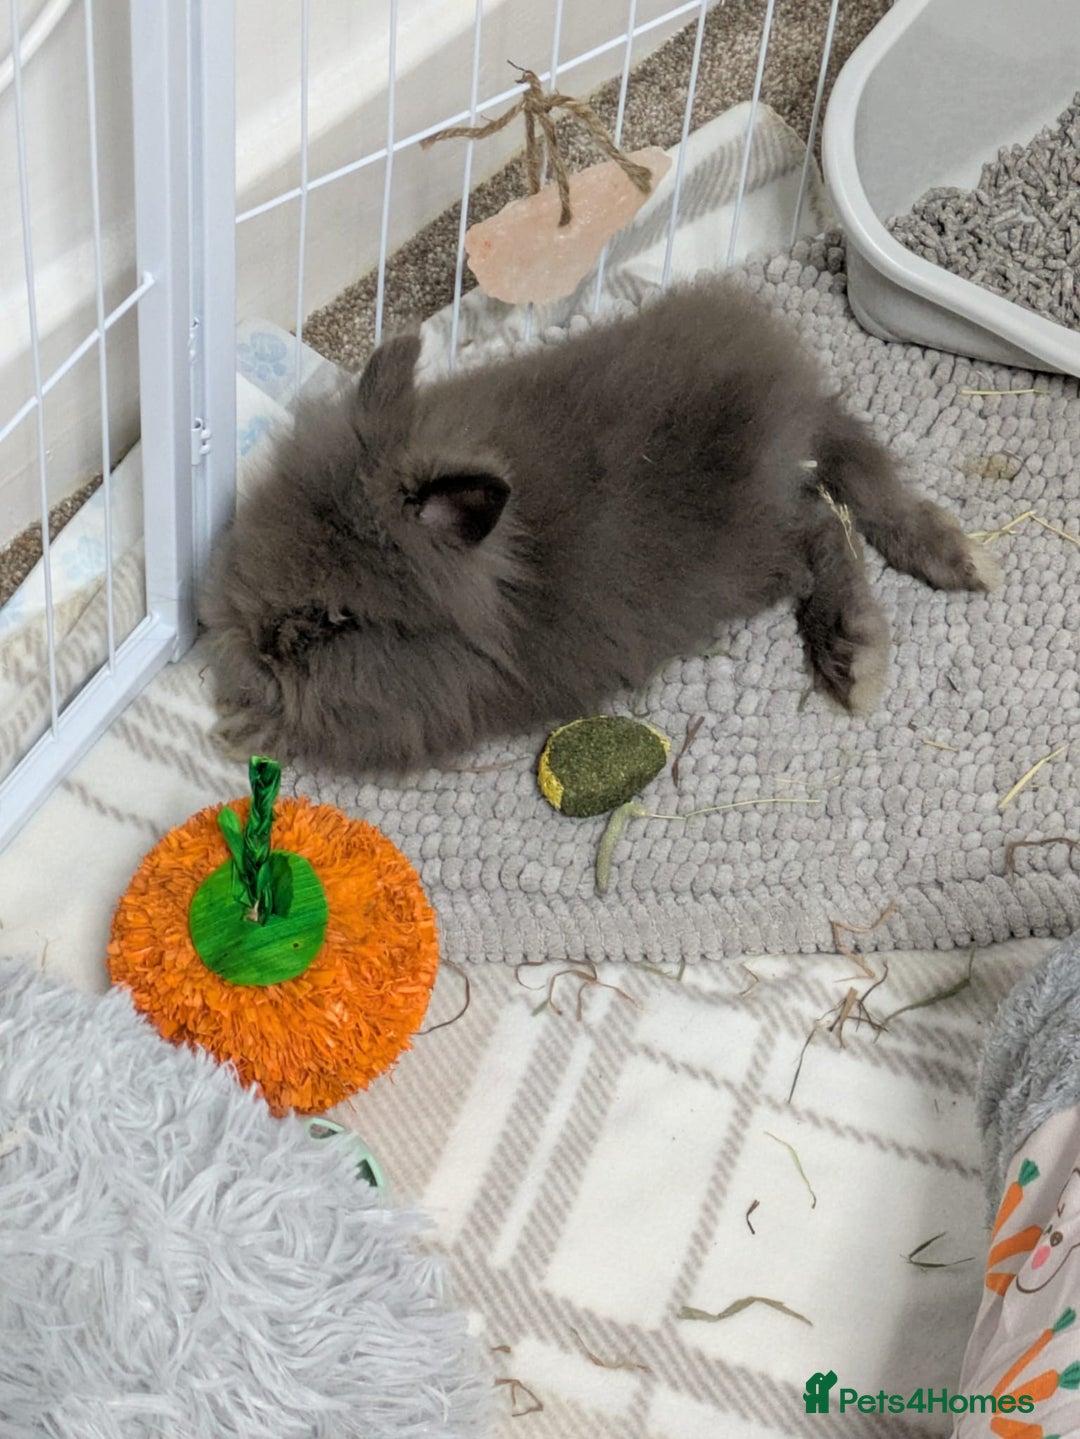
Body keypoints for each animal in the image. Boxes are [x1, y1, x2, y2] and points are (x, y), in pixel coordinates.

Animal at [201, 278, 999, 775]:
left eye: (338, 618)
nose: (262, 644)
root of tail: (789, 406)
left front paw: (243, 728)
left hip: (759, 546)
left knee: (826, 530)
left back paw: (853, 656)